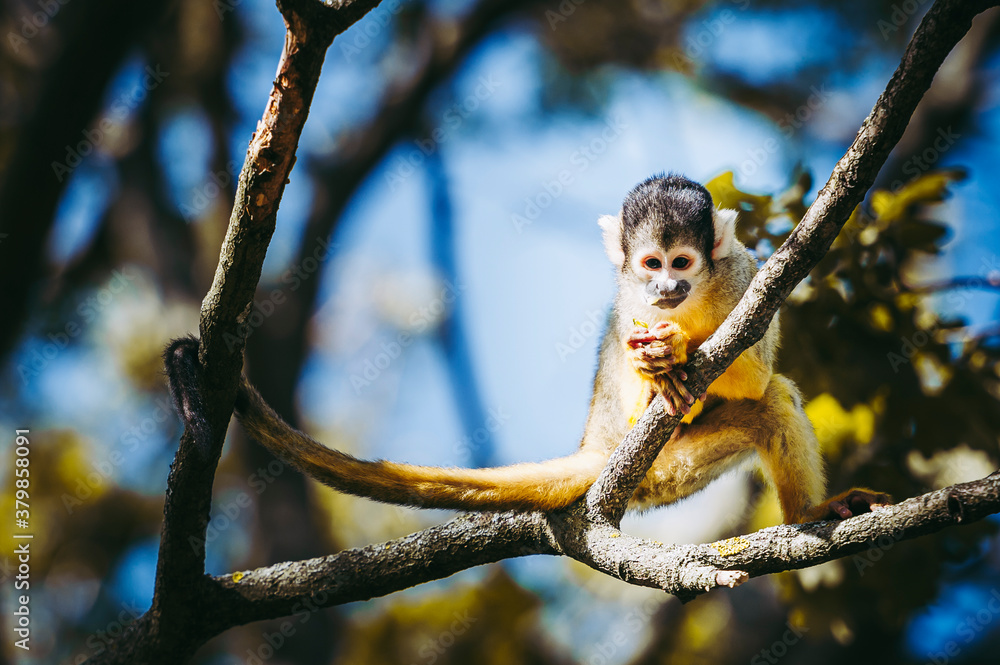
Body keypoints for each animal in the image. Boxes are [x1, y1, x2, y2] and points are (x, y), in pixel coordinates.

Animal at [226, 174, 889, 524]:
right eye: (651, 265)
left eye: (682, 263)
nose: (665, 291)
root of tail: (596, 451)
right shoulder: (627, 299)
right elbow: (636, 359)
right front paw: (657, 361)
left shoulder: (747, 273)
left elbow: (754, 375)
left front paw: (678, 345)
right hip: (659, 463)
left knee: (770, 398)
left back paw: (807, 517)